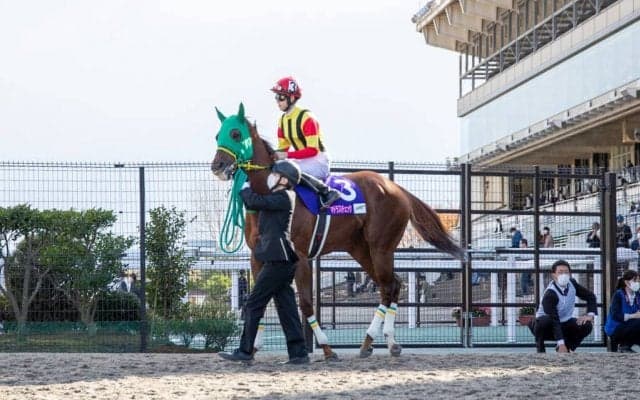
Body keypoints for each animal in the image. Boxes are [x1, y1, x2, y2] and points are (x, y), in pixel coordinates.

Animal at [211, 103, 463, 359]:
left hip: (381, 247)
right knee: (392, 285)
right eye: (217, 135)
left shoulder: (300, 256)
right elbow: (260, 299)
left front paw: (326, 347)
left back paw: (375, 341)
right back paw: (384, 342)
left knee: (388, 287)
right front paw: (252, 348)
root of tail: (395, 187)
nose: (217, 167)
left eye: (235, 134)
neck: (268, 193)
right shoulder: (258, 257)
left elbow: (305, 303)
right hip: (361, 250)